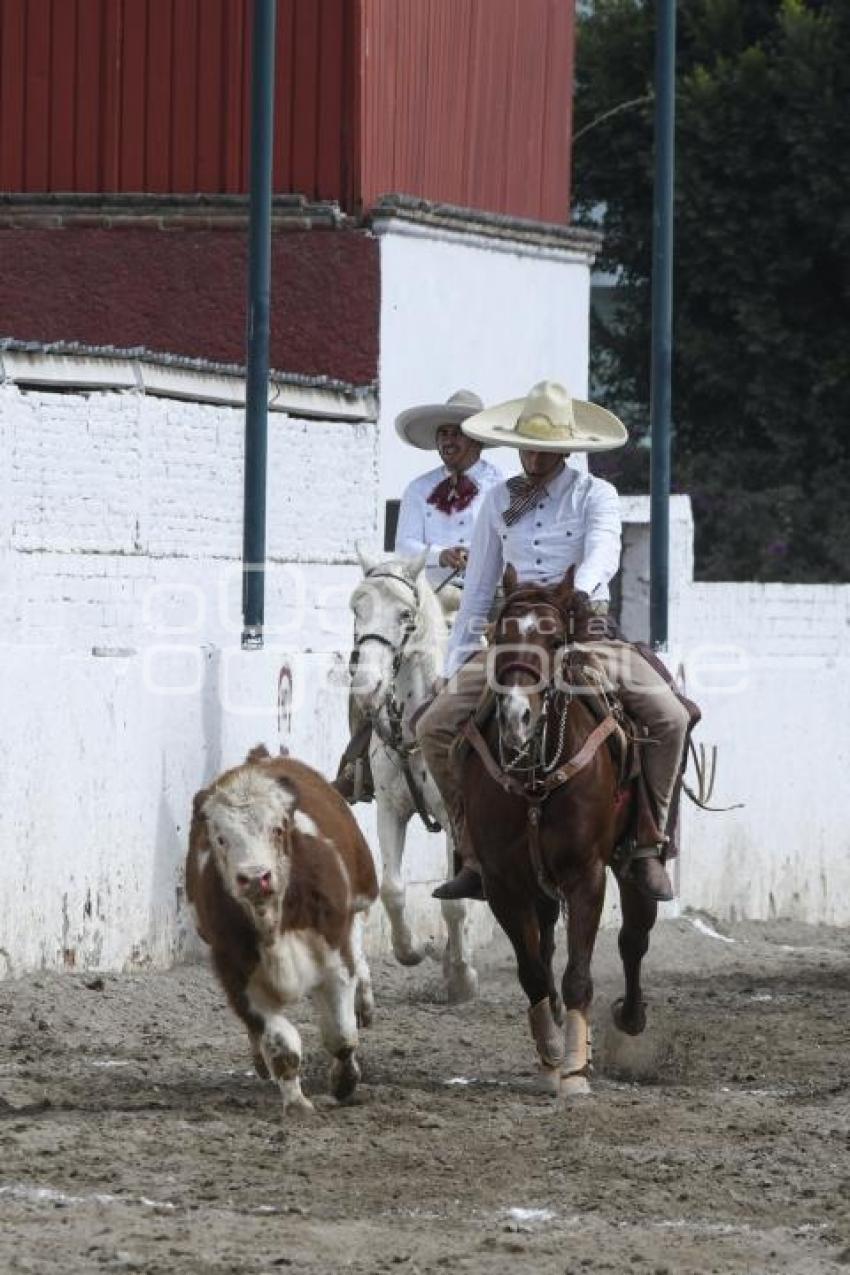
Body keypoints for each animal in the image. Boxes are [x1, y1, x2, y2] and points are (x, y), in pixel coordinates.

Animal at [191, 744, 379, 1116]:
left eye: (277, 829)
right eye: (220, 838)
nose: (254, 878)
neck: (273, 926)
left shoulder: (334, 960)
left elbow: (340, 1034)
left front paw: (344, 1081)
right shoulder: (237, 974)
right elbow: (282, 1046)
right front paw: (296, 1103)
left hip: (363, 893)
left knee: (358, 940)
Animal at [346, 548, 479, 1004]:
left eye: (406, 614)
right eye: (356, 607)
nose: (366, 686)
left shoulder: (459, 817)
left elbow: (455, 902)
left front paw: (462, 978)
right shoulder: (390, 808)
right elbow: (393, 889)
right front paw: (412, 950)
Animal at [461, 566, 657, 1096]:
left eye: (552, 640)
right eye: (500, 636)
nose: (517, 718)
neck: (534, 780)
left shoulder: (586, 875)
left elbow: (578, 974)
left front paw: (573, 1071)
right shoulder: (503, 883)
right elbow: (533, 972)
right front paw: (551, 1056)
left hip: (632, 865)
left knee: (634, 938)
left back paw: (629, 1018)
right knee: (547, 945)